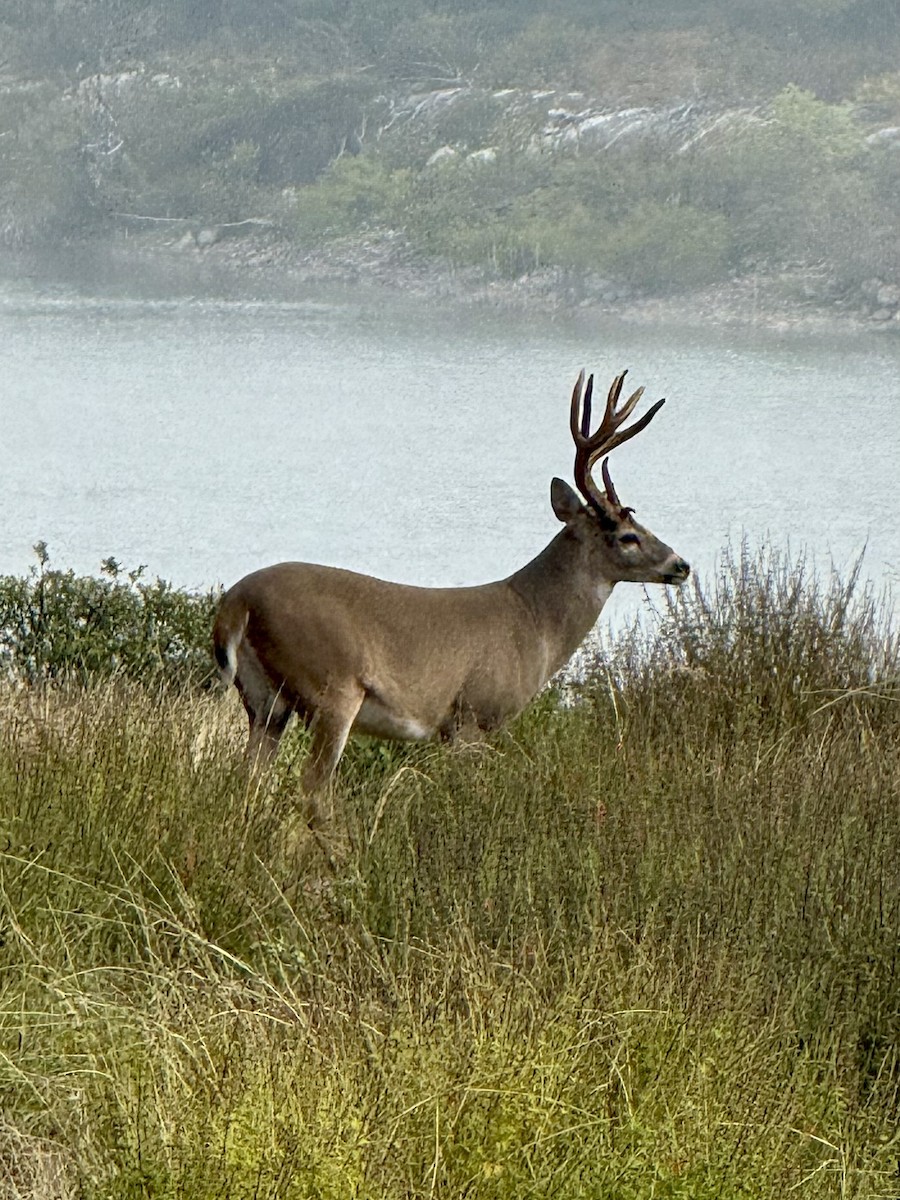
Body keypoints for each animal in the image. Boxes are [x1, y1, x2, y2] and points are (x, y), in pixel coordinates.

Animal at [213, 368, 690, 819]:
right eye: (627, 536)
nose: (680, 564)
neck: (533, 621)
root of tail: (236, 604)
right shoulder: (472, 716)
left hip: (263, 700)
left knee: (249, 781)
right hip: (331, 690)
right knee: (312, 789)